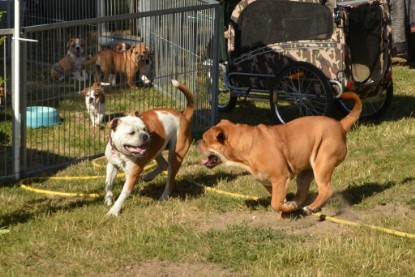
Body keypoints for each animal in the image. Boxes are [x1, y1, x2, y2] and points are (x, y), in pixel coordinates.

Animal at [104, 78, 195, 215]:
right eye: (131, 132)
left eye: (145, 128)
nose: (145, 136)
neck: (122, 153)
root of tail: (183, 116)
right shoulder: (112, 165)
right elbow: (108, 183)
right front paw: (108, 198)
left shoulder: (133, 175)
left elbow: (123, 193)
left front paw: (114, 210)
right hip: (158, 149)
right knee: (163, 163)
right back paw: (149, 176)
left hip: (175, 156)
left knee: (170, 181)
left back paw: (162, 197)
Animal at [198, 91, 364, 219]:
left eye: (205, 141)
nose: (197, 143)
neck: (246, 146)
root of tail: (340, 125)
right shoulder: (268, 182)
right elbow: (278, 200)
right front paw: (285, 211)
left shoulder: (280, 177)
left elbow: (275, 203)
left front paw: (285, 209)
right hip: (305, 172)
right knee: (302, 192)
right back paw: (297, 205)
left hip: (322, 163)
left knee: (326, 190)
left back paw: (310, 207)